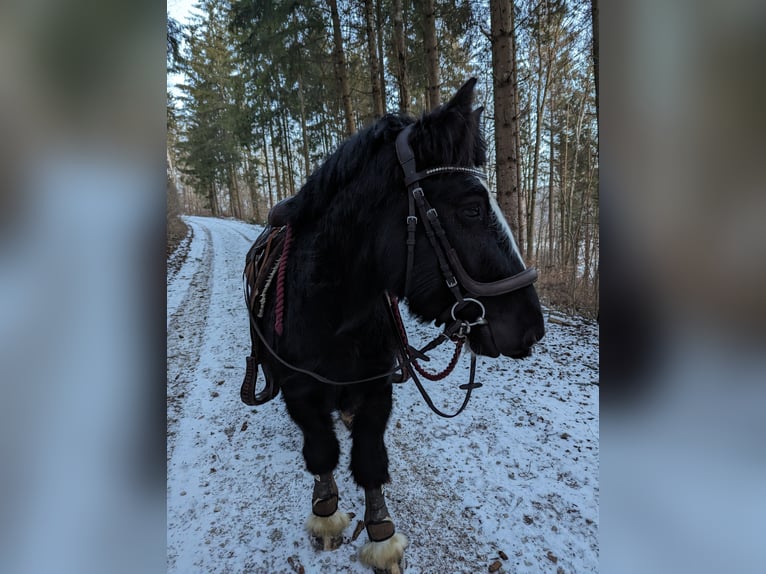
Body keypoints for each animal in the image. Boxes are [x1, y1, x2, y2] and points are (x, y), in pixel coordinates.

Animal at [242, 80, 544, 574]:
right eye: (472, 210)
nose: (531, 327)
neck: (333, 315)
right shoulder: (300, 392)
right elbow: (321, 451)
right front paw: (326, 515)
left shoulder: (376, 387)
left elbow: (369, 458)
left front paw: (381, 537)